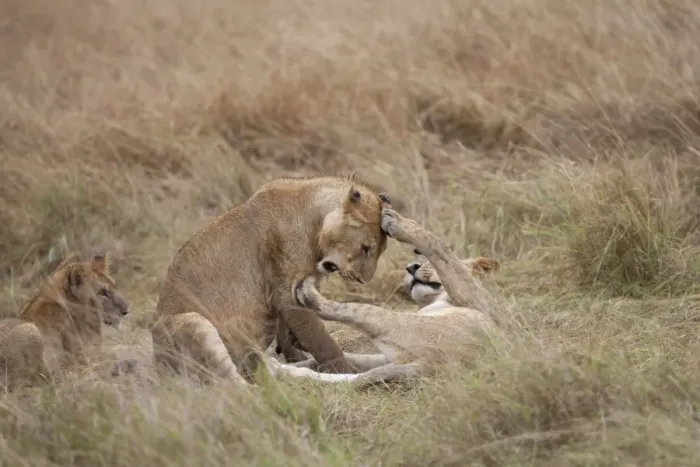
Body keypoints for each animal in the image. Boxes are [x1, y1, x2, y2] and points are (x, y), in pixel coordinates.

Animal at [150, 175, 392, 385]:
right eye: (366, 248)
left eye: (379, 251)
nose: (363, 279)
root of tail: (159, 366)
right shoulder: (288, 294)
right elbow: (323, 342)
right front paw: (339, 367)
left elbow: (287, 333)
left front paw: (294, 352)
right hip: (193, 324)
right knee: (234, 387)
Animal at [265, 207, 501, 387]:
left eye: (424, 262)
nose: (411, 267)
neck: (436, 299)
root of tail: (434, 364)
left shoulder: (480, 302)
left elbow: (441, 248)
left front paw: (398, 222)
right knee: (352, 378)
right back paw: (282, 367)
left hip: (405, 324)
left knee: (357, 313)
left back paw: (307, 294)